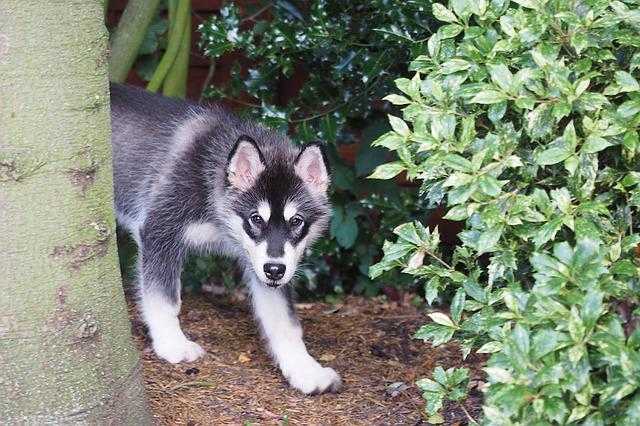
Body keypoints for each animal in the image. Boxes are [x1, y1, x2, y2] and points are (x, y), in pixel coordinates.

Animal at [109, 82, 342, 392]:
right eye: (256, 219)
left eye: (296, 221)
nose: (275, 270)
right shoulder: (160, 230)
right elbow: (165, 298)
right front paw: (172, 344)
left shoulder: (263, 264)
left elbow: (286, 323)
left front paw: (304, 369)